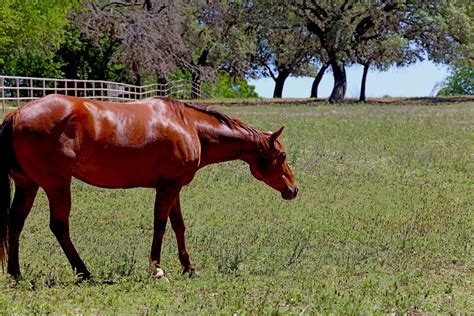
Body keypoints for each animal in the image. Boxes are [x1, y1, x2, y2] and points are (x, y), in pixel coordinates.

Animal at [0, 94, 296, 278]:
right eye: (282, 155)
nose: (293, 190)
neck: (189, 125)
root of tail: (17, 112)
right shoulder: (168, 188)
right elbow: (160, 225)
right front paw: (157, 268)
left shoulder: (173, 186)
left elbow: (178, 226)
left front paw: (189, 268)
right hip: (57, 184)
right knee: (59, 227)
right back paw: (84, 272)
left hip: (29, 184)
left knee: (15, 223)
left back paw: (16, 273)